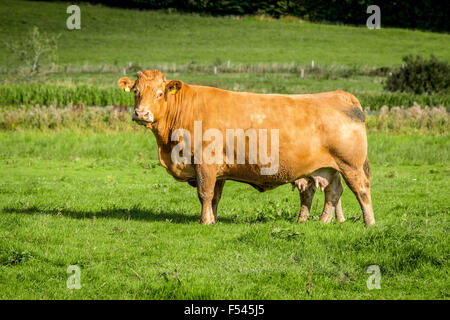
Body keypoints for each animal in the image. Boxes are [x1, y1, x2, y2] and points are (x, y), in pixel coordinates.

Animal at [118, 69, 374, 226]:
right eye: (136, 92)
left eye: (160, 93)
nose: (141, 113)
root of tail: (342, 95)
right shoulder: (217, 170)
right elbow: (215, 197)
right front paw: (213, 219)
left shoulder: (205, 163)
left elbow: (204, 193)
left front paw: (204, 221)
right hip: (327, 169)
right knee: (333, 191)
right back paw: (323, 221)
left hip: (350, 165)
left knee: (361, 190)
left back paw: (369, 222)